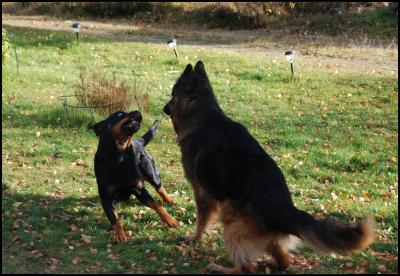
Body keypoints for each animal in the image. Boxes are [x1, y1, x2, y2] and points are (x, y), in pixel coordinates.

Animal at [93, 110, 177, 242]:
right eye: (119, 115)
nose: (137, 111)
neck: (119, 157)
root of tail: (138, 141)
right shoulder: (106, 197)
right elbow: (114, 218)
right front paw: (120, 234)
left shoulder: (139, 189)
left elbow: (156, 205)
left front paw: (170, 220)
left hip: (150, 170)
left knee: (159, 187)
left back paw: (168, 199)